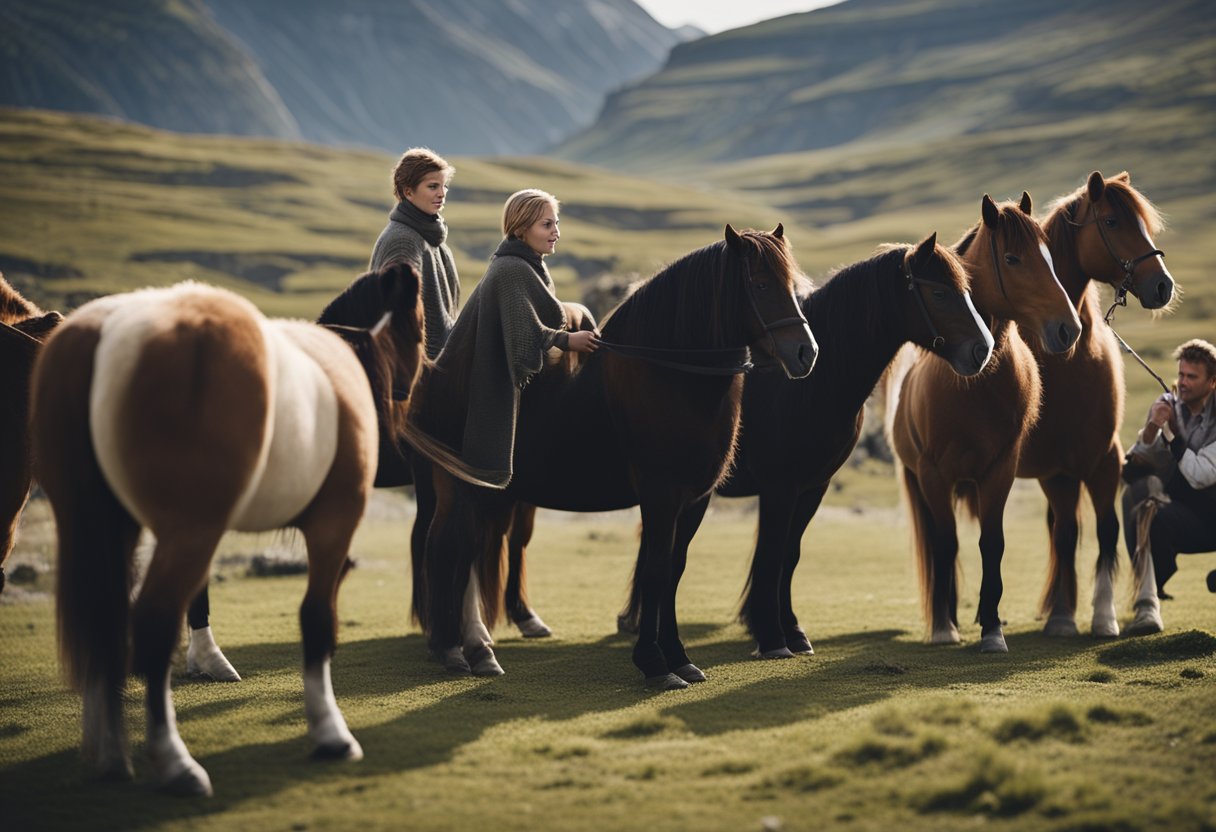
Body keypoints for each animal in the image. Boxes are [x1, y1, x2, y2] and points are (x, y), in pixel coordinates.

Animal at [34, 267, 423, 797]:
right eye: (421, 323)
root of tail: (105, 332)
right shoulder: (333, 523)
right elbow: (317, 619)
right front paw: (330, 732)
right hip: (189, 531)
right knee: (152, 624)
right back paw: (176, 763)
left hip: (106, 525)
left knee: (104, 620)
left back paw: (110, 753)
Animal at [408, 223, 817, 686]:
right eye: (761, 284)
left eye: (789, 282)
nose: (806, 352)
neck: (668, 377)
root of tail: (438, 372)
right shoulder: (660, 496)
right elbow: (654, 571)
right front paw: (654, 662)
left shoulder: (694, 500)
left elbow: (673, 571)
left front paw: (678, 658)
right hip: (463, 489)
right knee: (446, 552)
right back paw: (454, 649)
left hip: (485, 494)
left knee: (465, 557)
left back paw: (474, 649)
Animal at [885, 193, 1084, 651]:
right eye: (1012, 258)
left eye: (1049, 255)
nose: (1069, 329)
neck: (975, 384)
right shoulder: (933, 474)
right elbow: (946, 544)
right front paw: (944, 627)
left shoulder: (1000, 470)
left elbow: (992, 544)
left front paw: (992, 628)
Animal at [1016, 170, 1177, 637]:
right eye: (1110, 222)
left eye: (1144, 223)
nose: (1163, 285)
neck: (1069, 361)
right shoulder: (1056, 470)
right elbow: (1070, 535)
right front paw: (1066, 616)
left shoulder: (1104, 460)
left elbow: (1107, 530)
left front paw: (1104, 615)